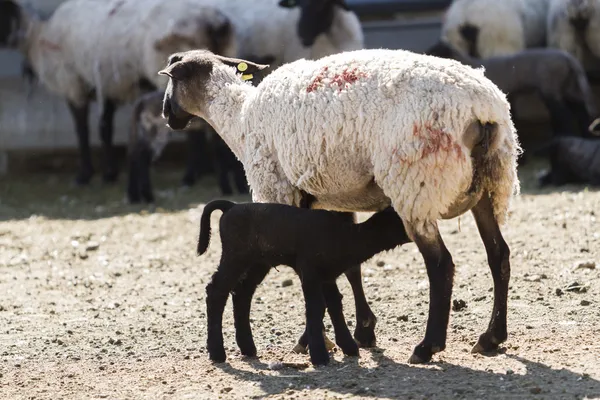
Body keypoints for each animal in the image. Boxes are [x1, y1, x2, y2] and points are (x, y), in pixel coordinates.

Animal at [0, 0, 237, 186]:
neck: (36, 36)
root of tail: (214, 22)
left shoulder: (73, 85)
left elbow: (82, 130)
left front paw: (84, 175)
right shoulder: (107, 87)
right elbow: (105, 129)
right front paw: (109, 173)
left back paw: (190, 176)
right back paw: (211, 170)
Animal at [197, 200, 412, 366]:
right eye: (400, 219)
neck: (345, 237)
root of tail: (231, 206)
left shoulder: (326, 275)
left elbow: (334, 304)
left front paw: (348, 346)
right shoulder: (308, 269)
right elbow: (315, 307)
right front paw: (319, 355)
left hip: (258, 261)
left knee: (242, 293)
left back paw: (247, 347)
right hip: (235, 255)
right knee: (216, 291)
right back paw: (217, 352)